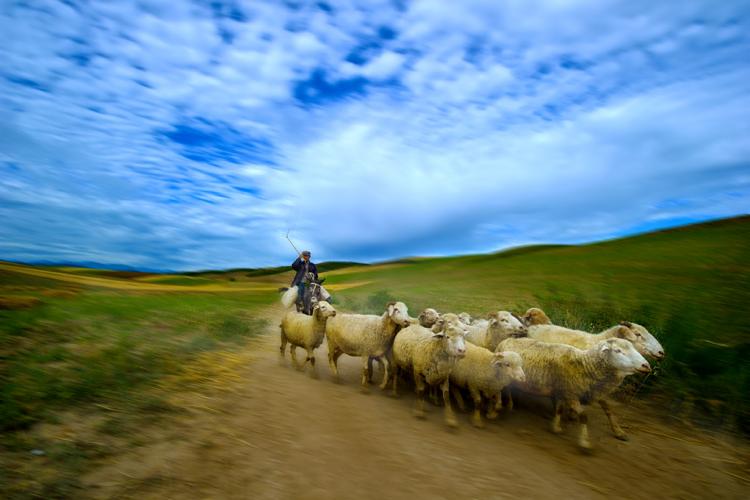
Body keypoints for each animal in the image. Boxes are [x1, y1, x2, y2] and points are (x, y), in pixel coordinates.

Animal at [498, 337, 650, 450]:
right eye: (618, 350)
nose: (646, 366)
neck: (585, 366)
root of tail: (506, 340)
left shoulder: (585, 391)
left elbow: (608, 409)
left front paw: (619, 432)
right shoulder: (570, 394)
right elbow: (584, 416)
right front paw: (584, 442)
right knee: (505, 389)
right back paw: (508, 405)